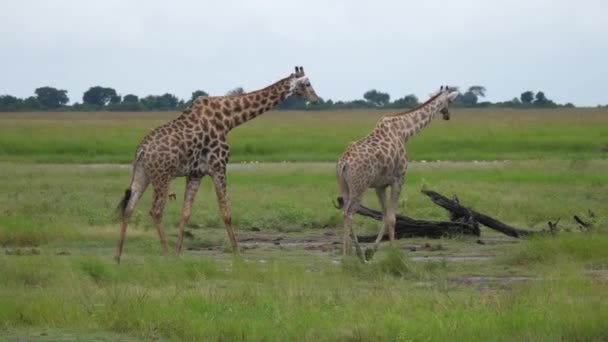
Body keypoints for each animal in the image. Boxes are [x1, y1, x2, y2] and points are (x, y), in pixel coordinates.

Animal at [116, 65, 320, 262]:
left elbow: (185, 213)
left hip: (142, 174)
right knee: (156, 210)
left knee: (129, 208)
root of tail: (141, 151)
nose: (316, 99)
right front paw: (238, 254)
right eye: (307, 83)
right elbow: (226, 212)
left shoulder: (195, 174)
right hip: (162, 176)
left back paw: (118, 257)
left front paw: (178, 253)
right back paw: (164, 254)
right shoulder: (219, 167)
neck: (229, 119)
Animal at [334, 85, 458, 262]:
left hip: (344, 187)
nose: (447, 115)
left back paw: (356, 253)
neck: (404, 131)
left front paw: (372, 251)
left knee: (344, 211)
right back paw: (348, 255)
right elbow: (392, 218)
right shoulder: (398, 179)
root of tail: (343, 163)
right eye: (450, 101)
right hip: (360, 187)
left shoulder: (380, 185)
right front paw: (394, 253)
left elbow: (385, 216)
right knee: (348, 213)